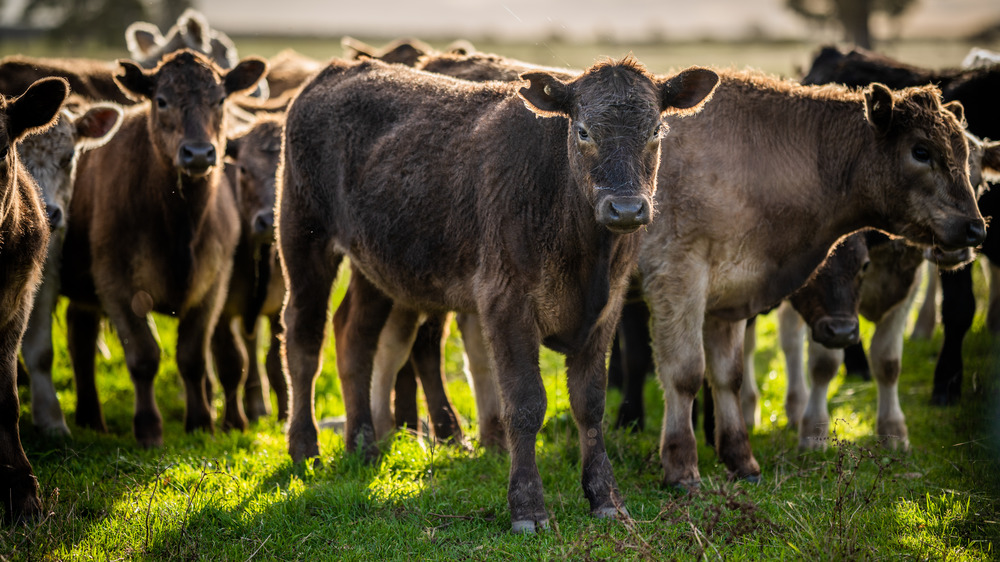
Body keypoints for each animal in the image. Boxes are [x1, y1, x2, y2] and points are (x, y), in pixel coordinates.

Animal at [58, 50, 268, 444]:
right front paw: (148, 428)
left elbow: (192, 357)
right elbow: (144, 356)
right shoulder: (115, 283)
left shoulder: (212, 286)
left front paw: (201, 422)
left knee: (81, 335)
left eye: (220, 99)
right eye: (161, 101)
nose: (198, 154)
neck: (181, 225)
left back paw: (91, 418)